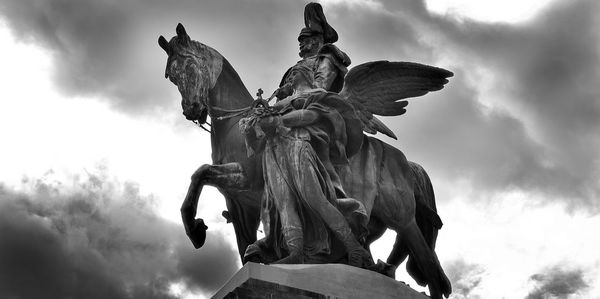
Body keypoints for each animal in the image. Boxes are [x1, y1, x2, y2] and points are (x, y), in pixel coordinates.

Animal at [159, 24, 450, 299]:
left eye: (190, 65)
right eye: (171, 76)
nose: (192, 110)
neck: (234, 127)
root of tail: (408, 163)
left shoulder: (247, 179)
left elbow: (203, 173)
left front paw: (198, 230)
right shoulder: (238, 200)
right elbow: (204, 179)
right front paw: (199, 230)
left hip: (401, 217)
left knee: (428, 263)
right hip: (383, 217)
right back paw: (374, 266)